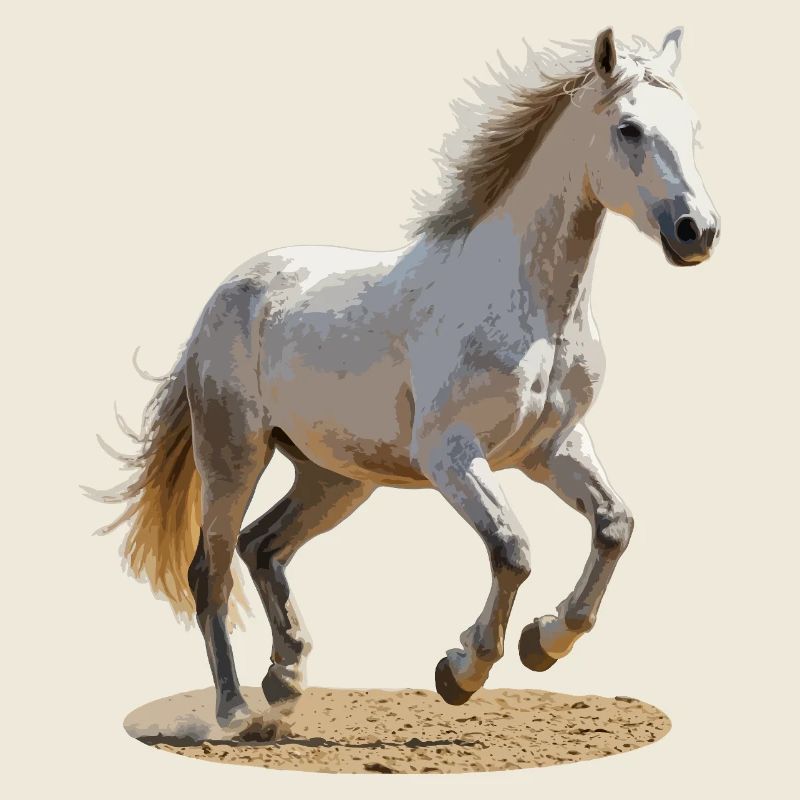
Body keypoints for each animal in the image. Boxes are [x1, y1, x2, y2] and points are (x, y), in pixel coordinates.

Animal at [92, 27, 719, 728]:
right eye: (630, 129)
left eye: (692, 127)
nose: (697, 232)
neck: (527, 305)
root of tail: (230, 292)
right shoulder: (451, 454)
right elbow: (512, 549)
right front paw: (464, 670)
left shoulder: (552, 448)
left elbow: (614, 526)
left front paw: (545, 640)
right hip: (234, 455)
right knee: (213, 568)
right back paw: (235, 712)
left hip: (336, 476)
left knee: (263, 546)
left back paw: (287, 676)